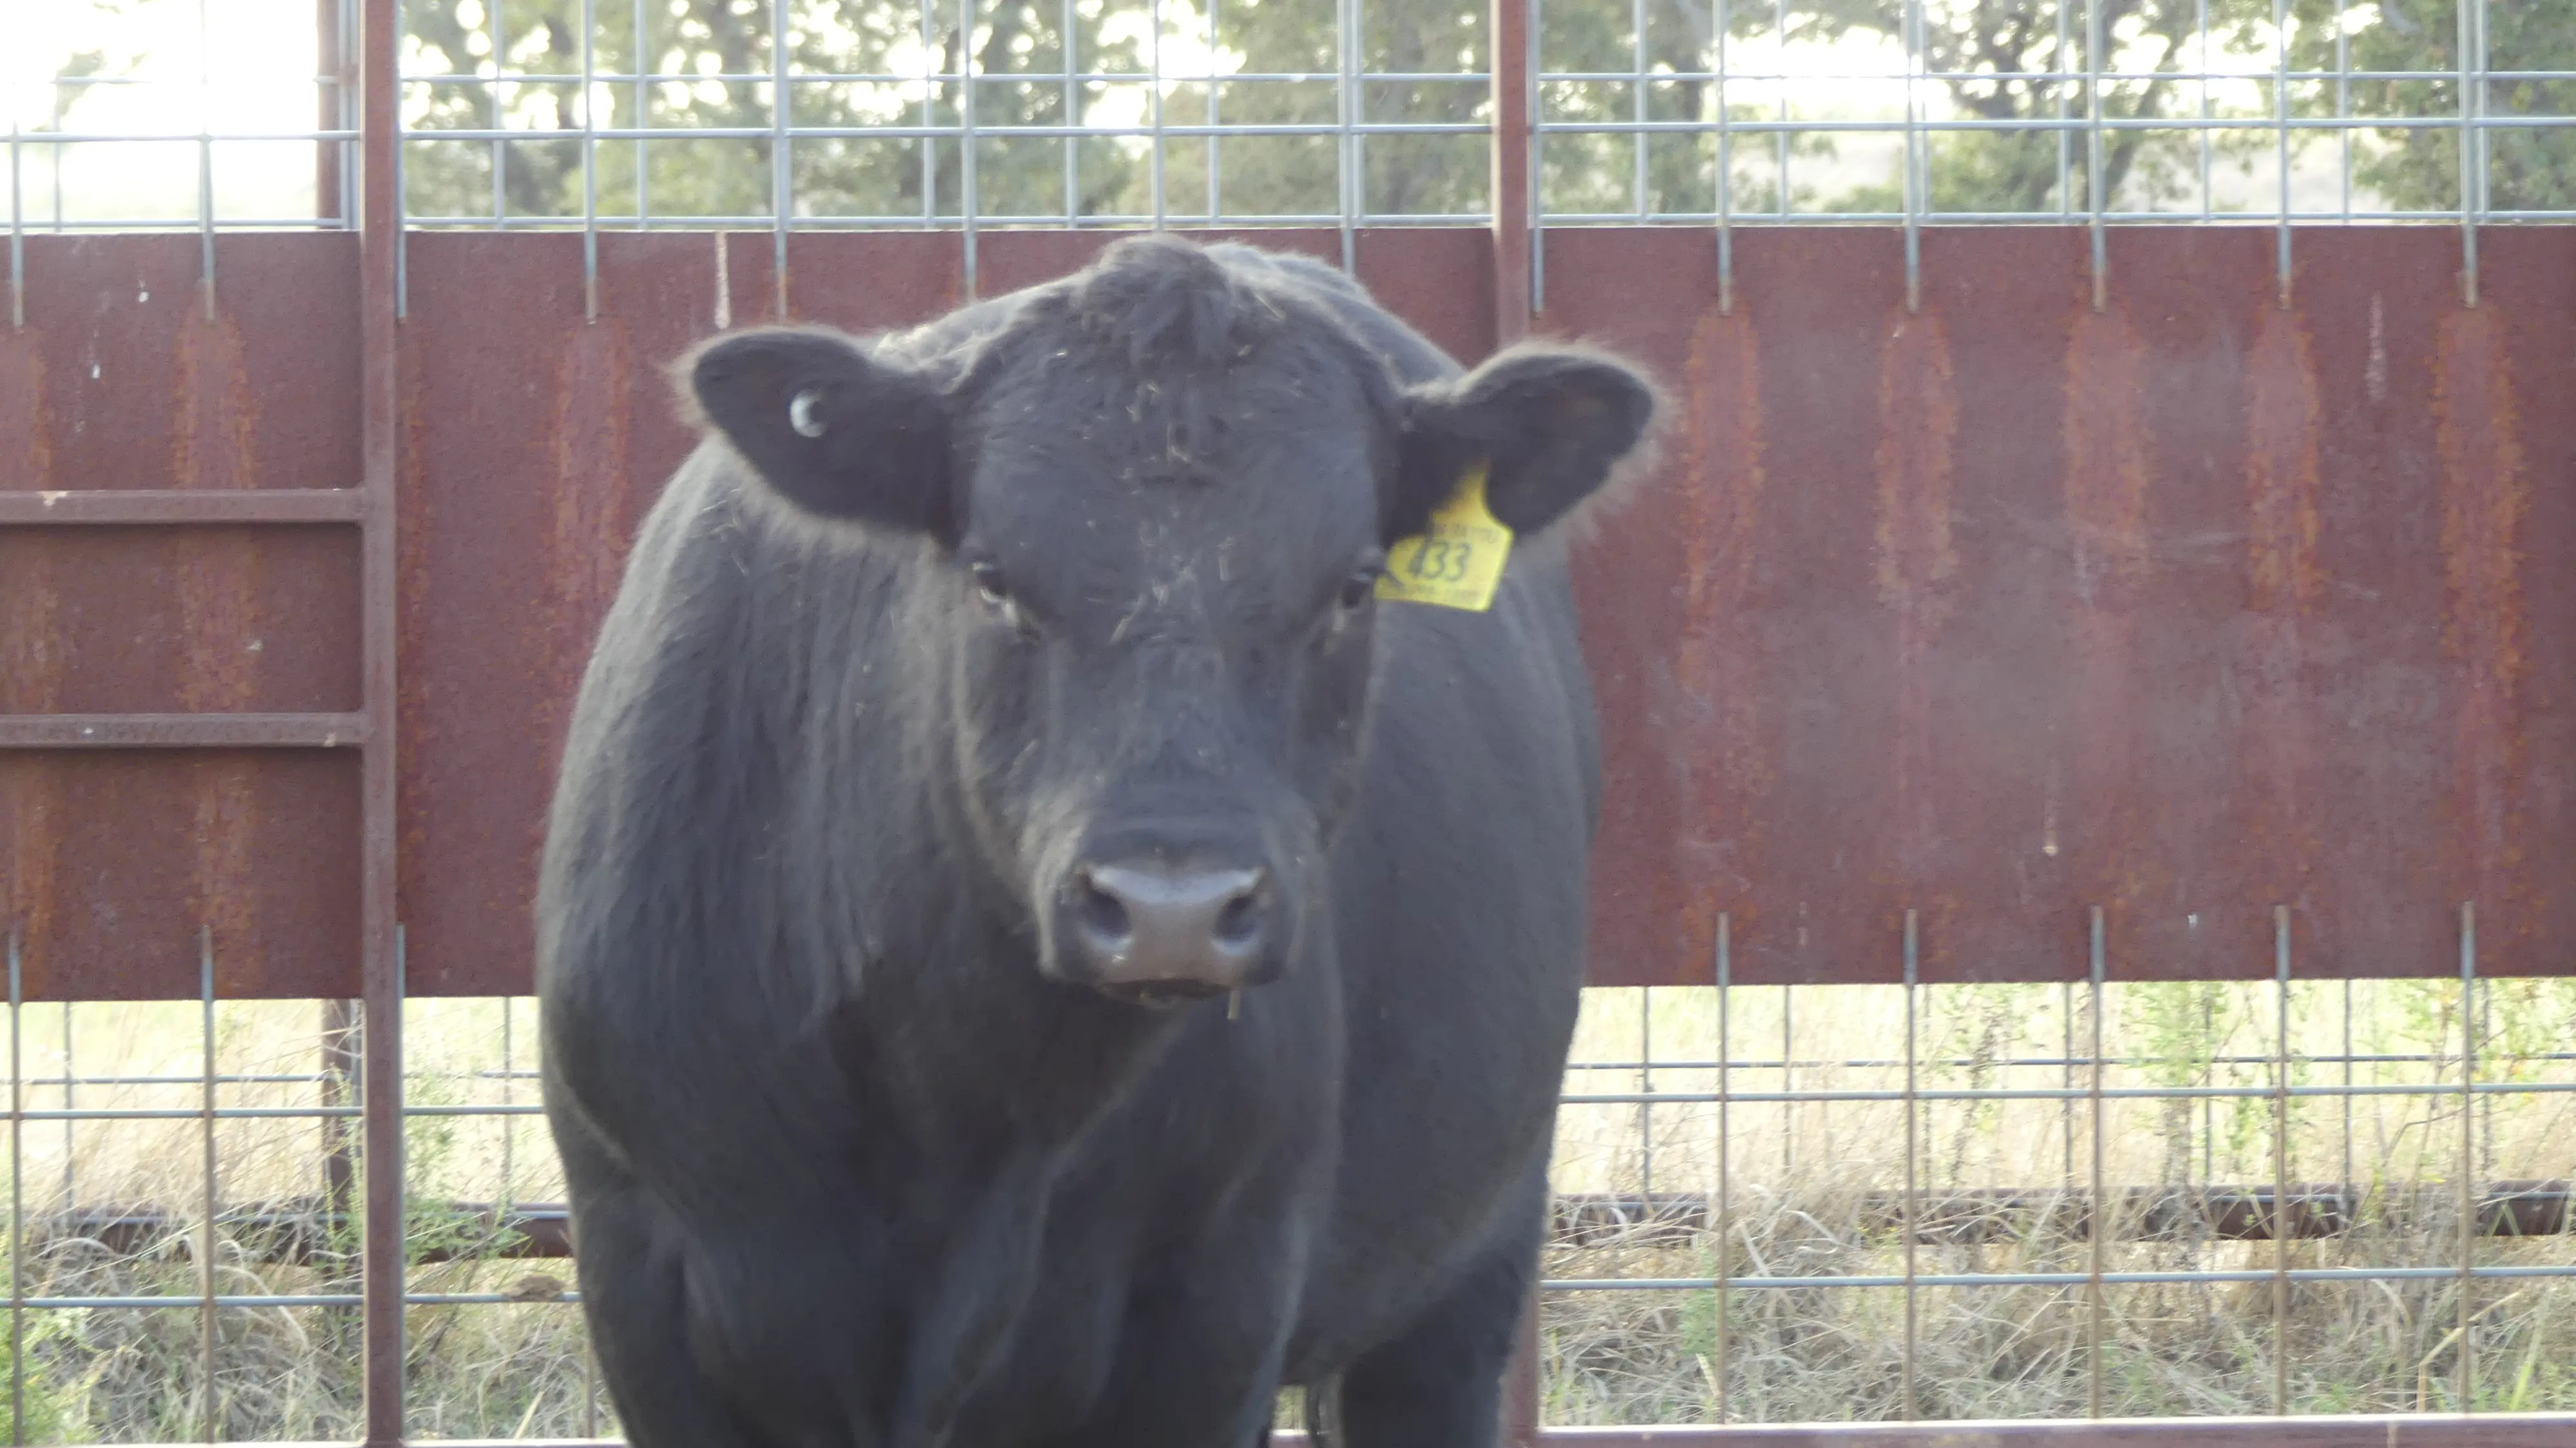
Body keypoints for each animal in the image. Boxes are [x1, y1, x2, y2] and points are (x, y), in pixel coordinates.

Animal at [535, 233, 1658, 1448]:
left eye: (1356, 584)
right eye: (991, 576)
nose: (1174, 909)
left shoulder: (1221, 1302)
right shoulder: (645, 1278)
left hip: (1472, 1253)